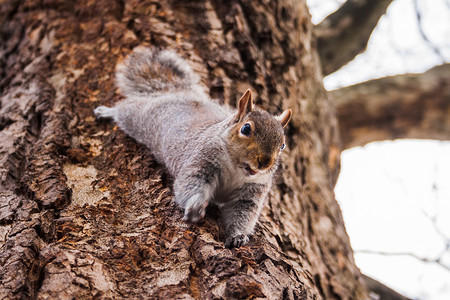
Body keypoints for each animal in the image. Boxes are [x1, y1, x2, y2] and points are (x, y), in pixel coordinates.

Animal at [95, 47, 292, 248]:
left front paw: (238, 236)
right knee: (126, 108)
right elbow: (191, 184)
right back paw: (107, 111)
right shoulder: (201, 161)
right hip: (140, 117)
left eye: (283, 145)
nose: (265, 162)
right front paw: (196, 206)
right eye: (246, 129)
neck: (236, 170)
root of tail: (178, 92)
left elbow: (242, 214)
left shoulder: (251, 192)